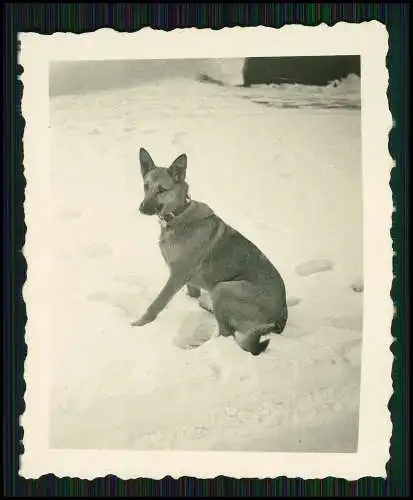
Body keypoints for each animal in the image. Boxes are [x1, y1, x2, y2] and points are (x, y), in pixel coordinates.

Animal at [132, 146, 286, 354]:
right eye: (146, 186)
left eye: (162, 189)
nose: (142, 208)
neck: (178, 215)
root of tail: (281, 318)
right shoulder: (186, 279)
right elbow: (192, 294)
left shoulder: (177, 276)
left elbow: (157, 304)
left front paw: (139, 324)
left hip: (224, 288)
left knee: (226, 333)